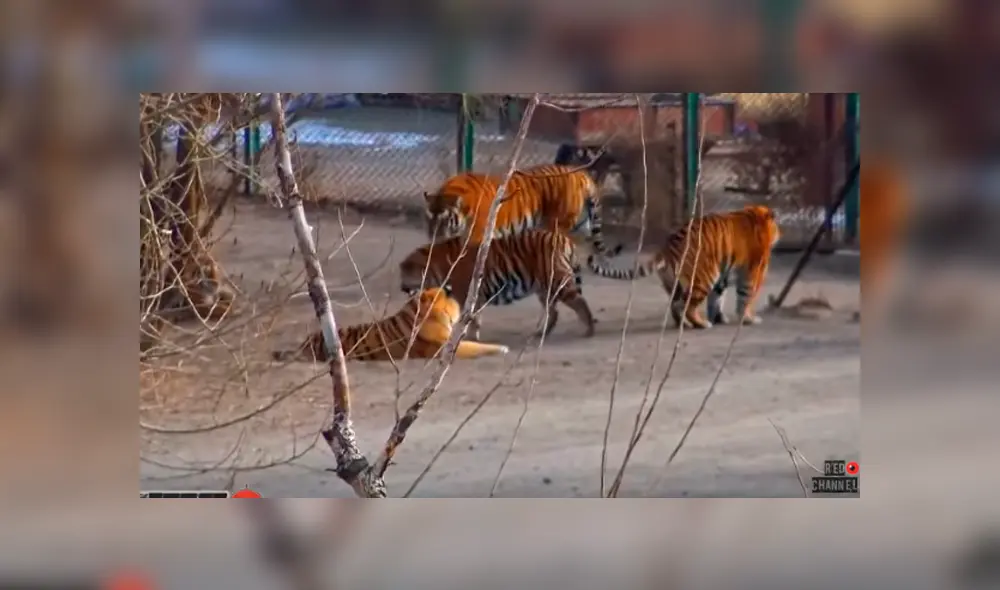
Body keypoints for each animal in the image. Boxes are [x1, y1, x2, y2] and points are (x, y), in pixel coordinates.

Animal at [271, 287, 510, 363]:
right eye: (444, 298)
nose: (451, 291)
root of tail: (304, 344)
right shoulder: (446, 348)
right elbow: (476, 347)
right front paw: (502, 348)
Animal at [398, 229, 597, 341]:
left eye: (405, 275)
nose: (402, 288)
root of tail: (564, 239)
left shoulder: (466, 294)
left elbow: (470, 318)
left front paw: (468, 337)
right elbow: (475, 317)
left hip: (558, 283)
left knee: (580, 302)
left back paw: (589, 330)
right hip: (544, 288)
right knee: (554, 311)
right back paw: (541, 334)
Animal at [422, 161, 624, 258]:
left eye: (444, 219)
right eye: (429, 217)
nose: (433, 236)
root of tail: (578, 172)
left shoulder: (475, 239)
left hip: (558, 223)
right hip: (578, 222)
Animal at [586, 204, 781, 329]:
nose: (780, 233)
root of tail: (667, 247)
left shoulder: (723, 274)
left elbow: (717, 298)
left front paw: (719, 318)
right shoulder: (753, 272)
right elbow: (745, 297)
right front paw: (748, 319)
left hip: (674, 283)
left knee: (674, 305)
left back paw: (685, 324)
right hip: (704, 276)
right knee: (685, 305)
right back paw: (701, 324)